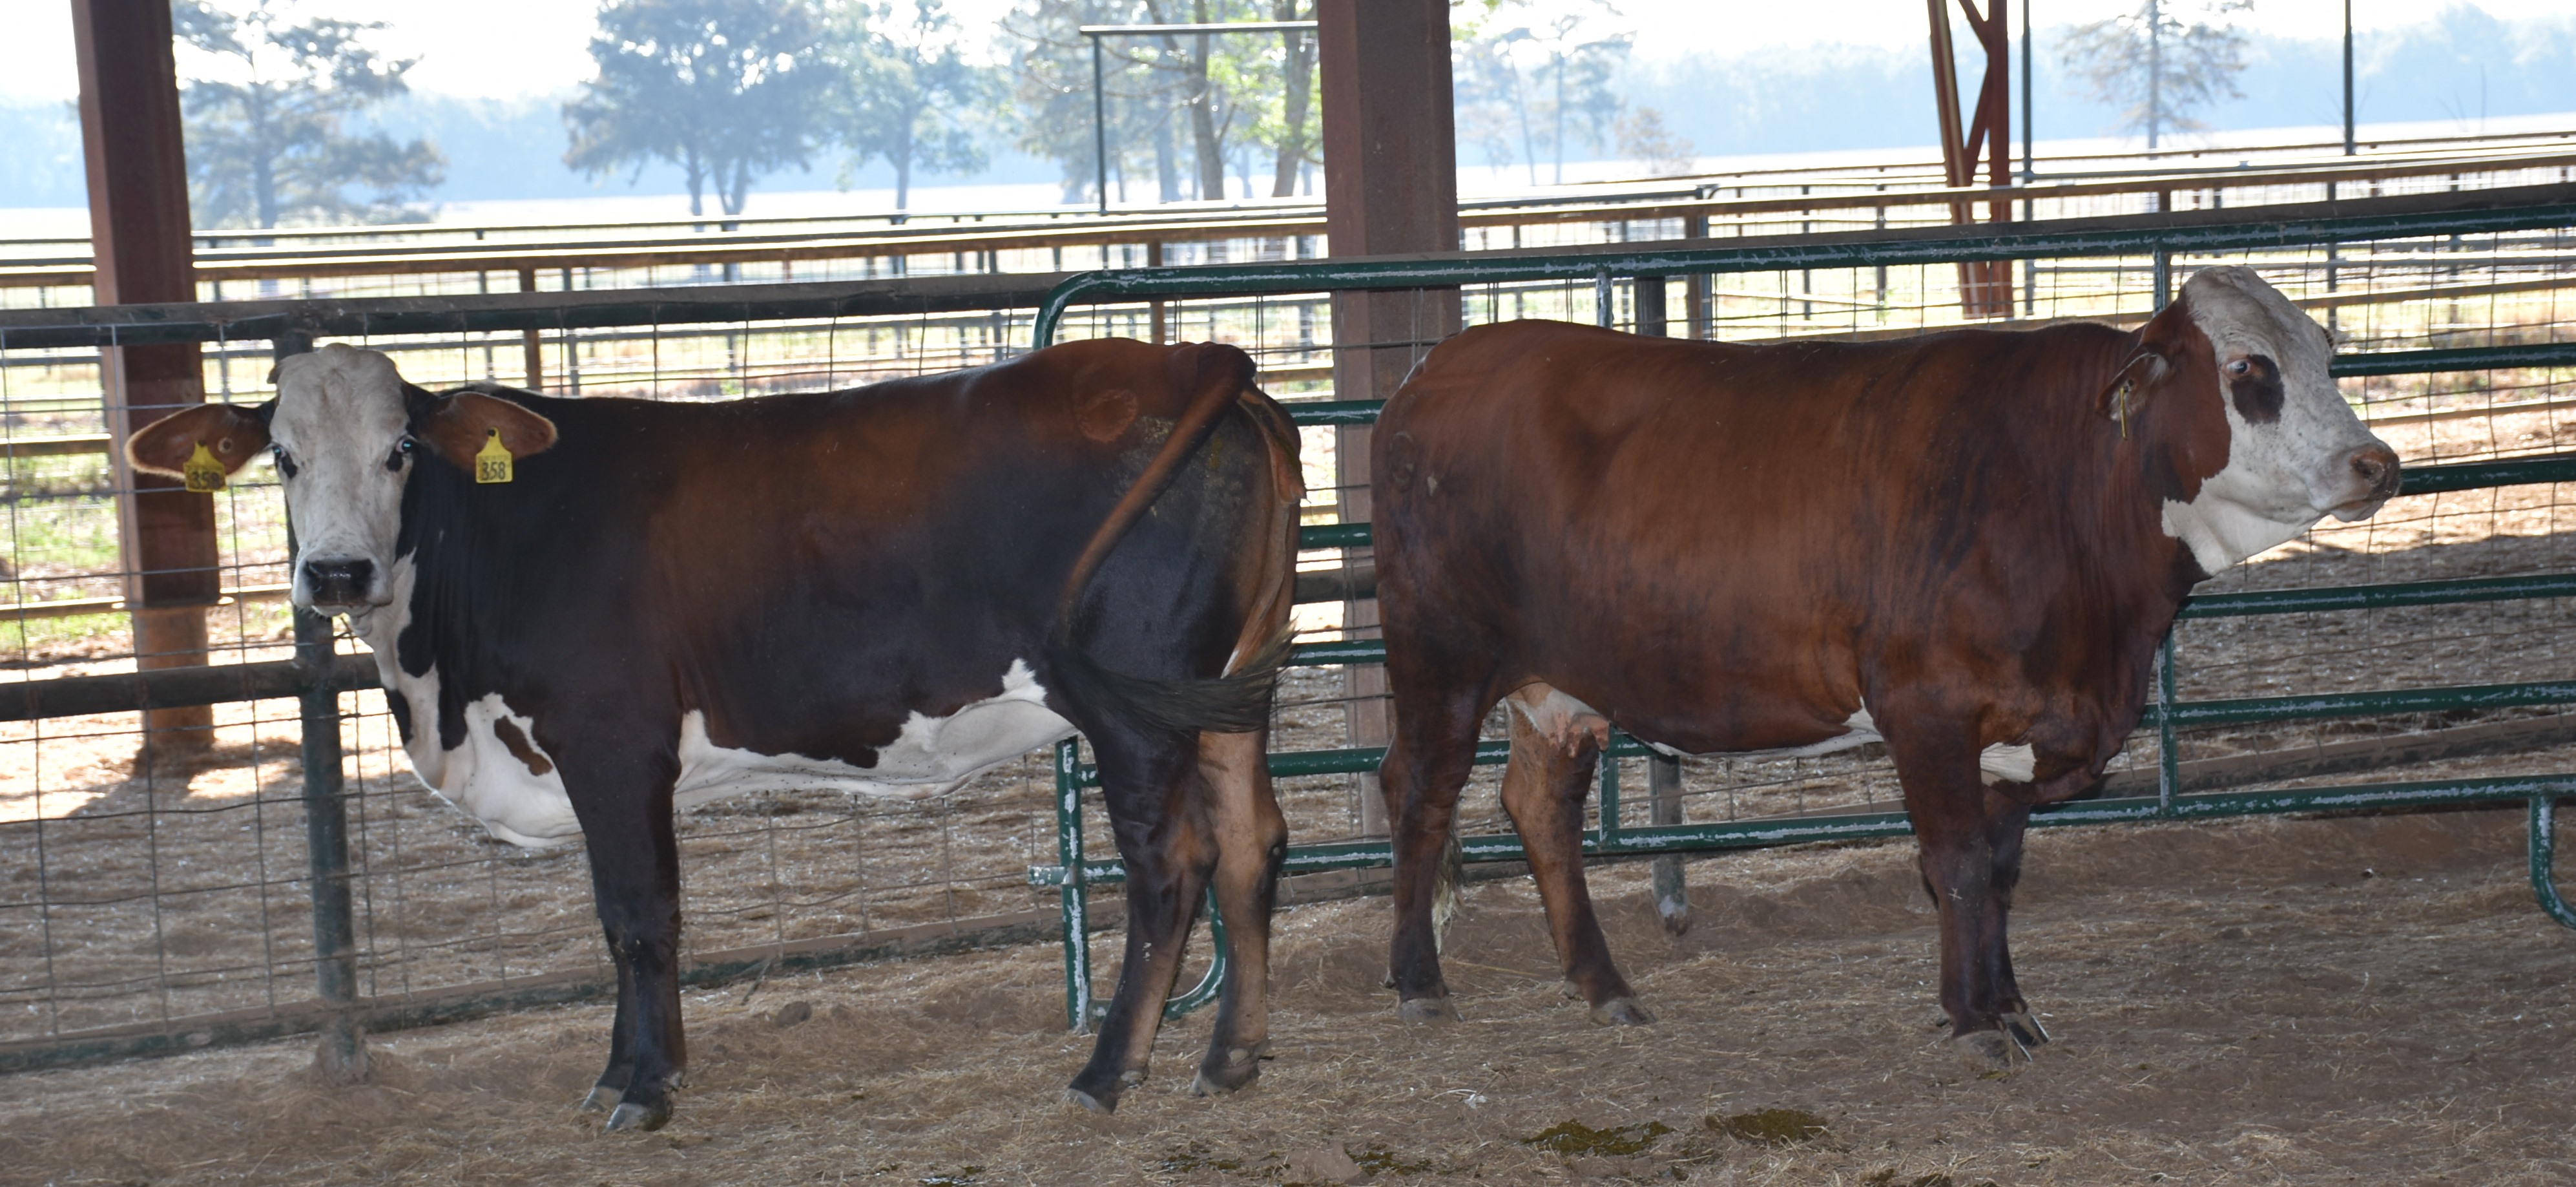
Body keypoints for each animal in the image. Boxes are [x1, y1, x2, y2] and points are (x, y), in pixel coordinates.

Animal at [126, 339, 1303, 1129]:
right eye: (281, 456)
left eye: (401, 448)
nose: (335, 573)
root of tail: (1186, 359)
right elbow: (617, 923)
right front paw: (618, 1071)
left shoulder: (613, 743)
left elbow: (641, 917)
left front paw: (646, 1088)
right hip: (1227, 698)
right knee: (1254, 847)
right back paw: (1232, 1056)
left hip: (1134, 709)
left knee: (1172, 865)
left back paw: (1107, 1072)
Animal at [1369, 266, 2401, 1067]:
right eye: (2248, 369)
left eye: (2325, 356)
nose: (2377, 463)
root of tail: (1439, 367)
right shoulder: (1928, 709)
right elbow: (1954, 864)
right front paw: (1975, 1021)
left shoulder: (2014, 735)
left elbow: (1998, 871)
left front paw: (2010, 1007)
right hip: (1441, 657)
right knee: (1419, 790)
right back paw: (1419, 985)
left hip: (1558, 685)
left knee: (1541, 809)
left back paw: (1603, 984)